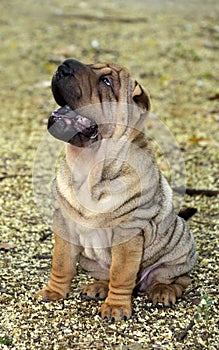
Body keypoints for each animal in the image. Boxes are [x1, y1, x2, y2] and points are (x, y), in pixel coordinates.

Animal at [35, 59, 197, 320]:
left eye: (106, 82)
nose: (64, 65)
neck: (89, 167)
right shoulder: (64, 223)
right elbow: (61, 263)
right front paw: (53, 292)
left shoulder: (127, 234)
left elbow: (121, 273)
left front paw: (116, 307)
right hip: (91, 261)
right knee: (104, 274)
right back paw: (98, 287)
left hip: (178, 249)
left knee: (178, 279)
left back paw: (162, 292)